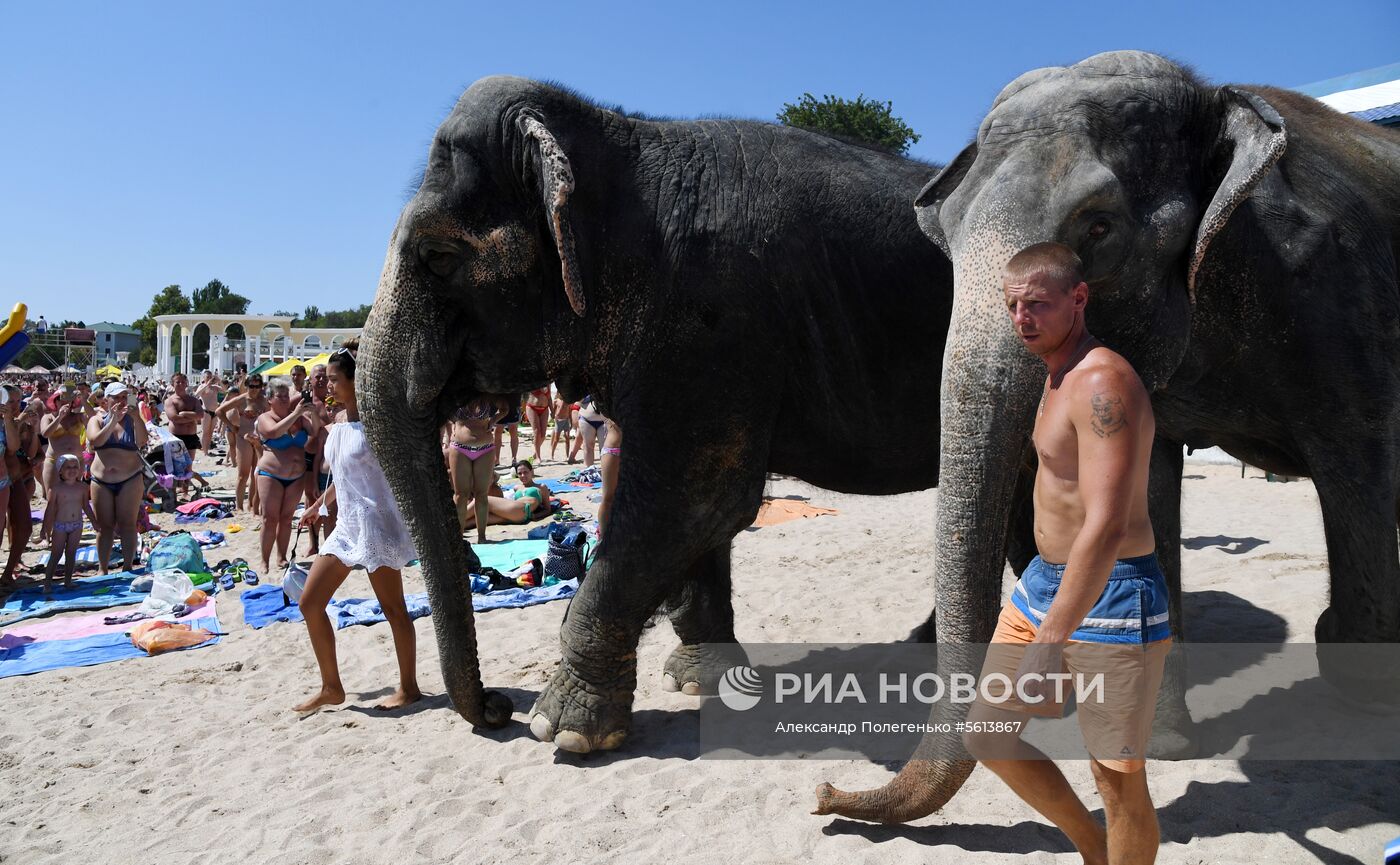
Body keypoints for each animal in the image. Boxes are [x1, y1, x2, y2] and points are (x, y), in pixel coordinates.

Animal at [355, 74, 957, 750]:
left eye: (437, 257)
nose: (498, 706)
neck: (622, 136)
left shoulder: (714, 323)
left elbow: (693, 500)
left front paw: (565, 732)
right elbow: (698, 513)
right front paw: (704, 680)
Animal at [817, 52, 1400, 823]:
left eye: (1097, 227)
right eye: (950, 232)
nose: (824, 792)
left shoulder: (1341, 297)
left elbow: (1357, 464)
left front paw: (1354, 668)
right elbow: (1145, 487)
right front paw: (1165, 744)